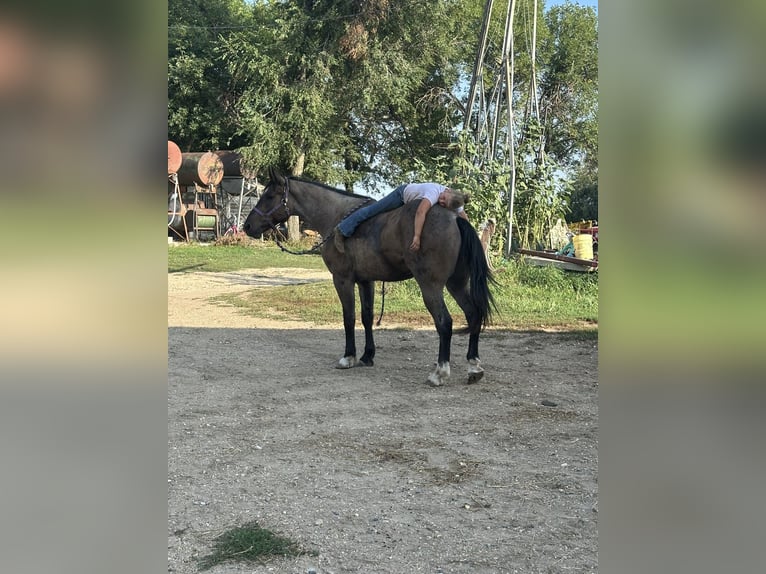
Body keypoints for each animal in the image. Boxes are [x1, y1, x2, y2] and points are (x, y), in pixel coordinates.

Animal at [243, 167, 496, 387]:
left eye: (269, 196)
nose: (247, 226)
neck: (336, 215)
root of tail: (455, 218)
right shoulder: (366, 281)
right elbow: (366, 317)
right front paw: (367, 356)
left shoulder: (342, 280)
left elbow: (349, 318)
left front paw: (348, 357)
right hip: (457, 284)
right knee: (473, 314)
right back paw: (474, 367)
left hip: (431, 286)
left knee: (445, 323)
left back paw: (439, 373)